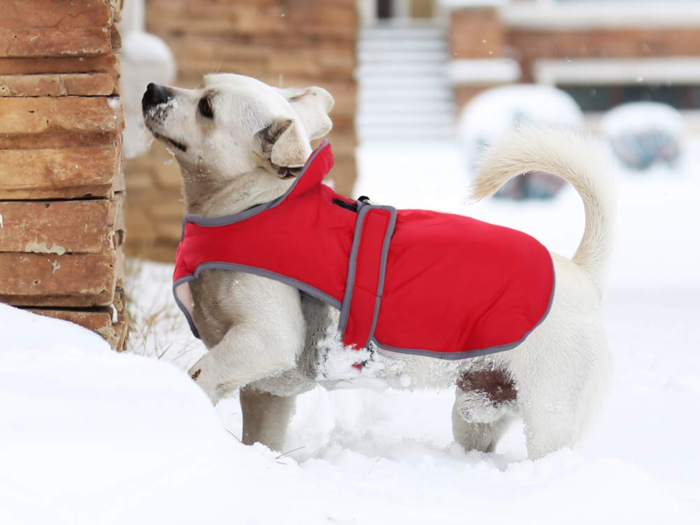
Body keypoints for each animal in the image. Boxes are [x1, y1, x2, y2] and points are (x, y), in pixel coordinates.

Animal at [142, 73, 612, 458]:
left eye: (207, 107)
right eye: (200, 86)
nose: (151, 90)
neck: (257, 204)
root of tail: (580, 272)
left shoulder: (265, 339)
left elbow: (201, 374)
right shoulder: (267, 391)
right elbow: (260, 434)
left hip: (549, 414)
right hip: (476, 411)